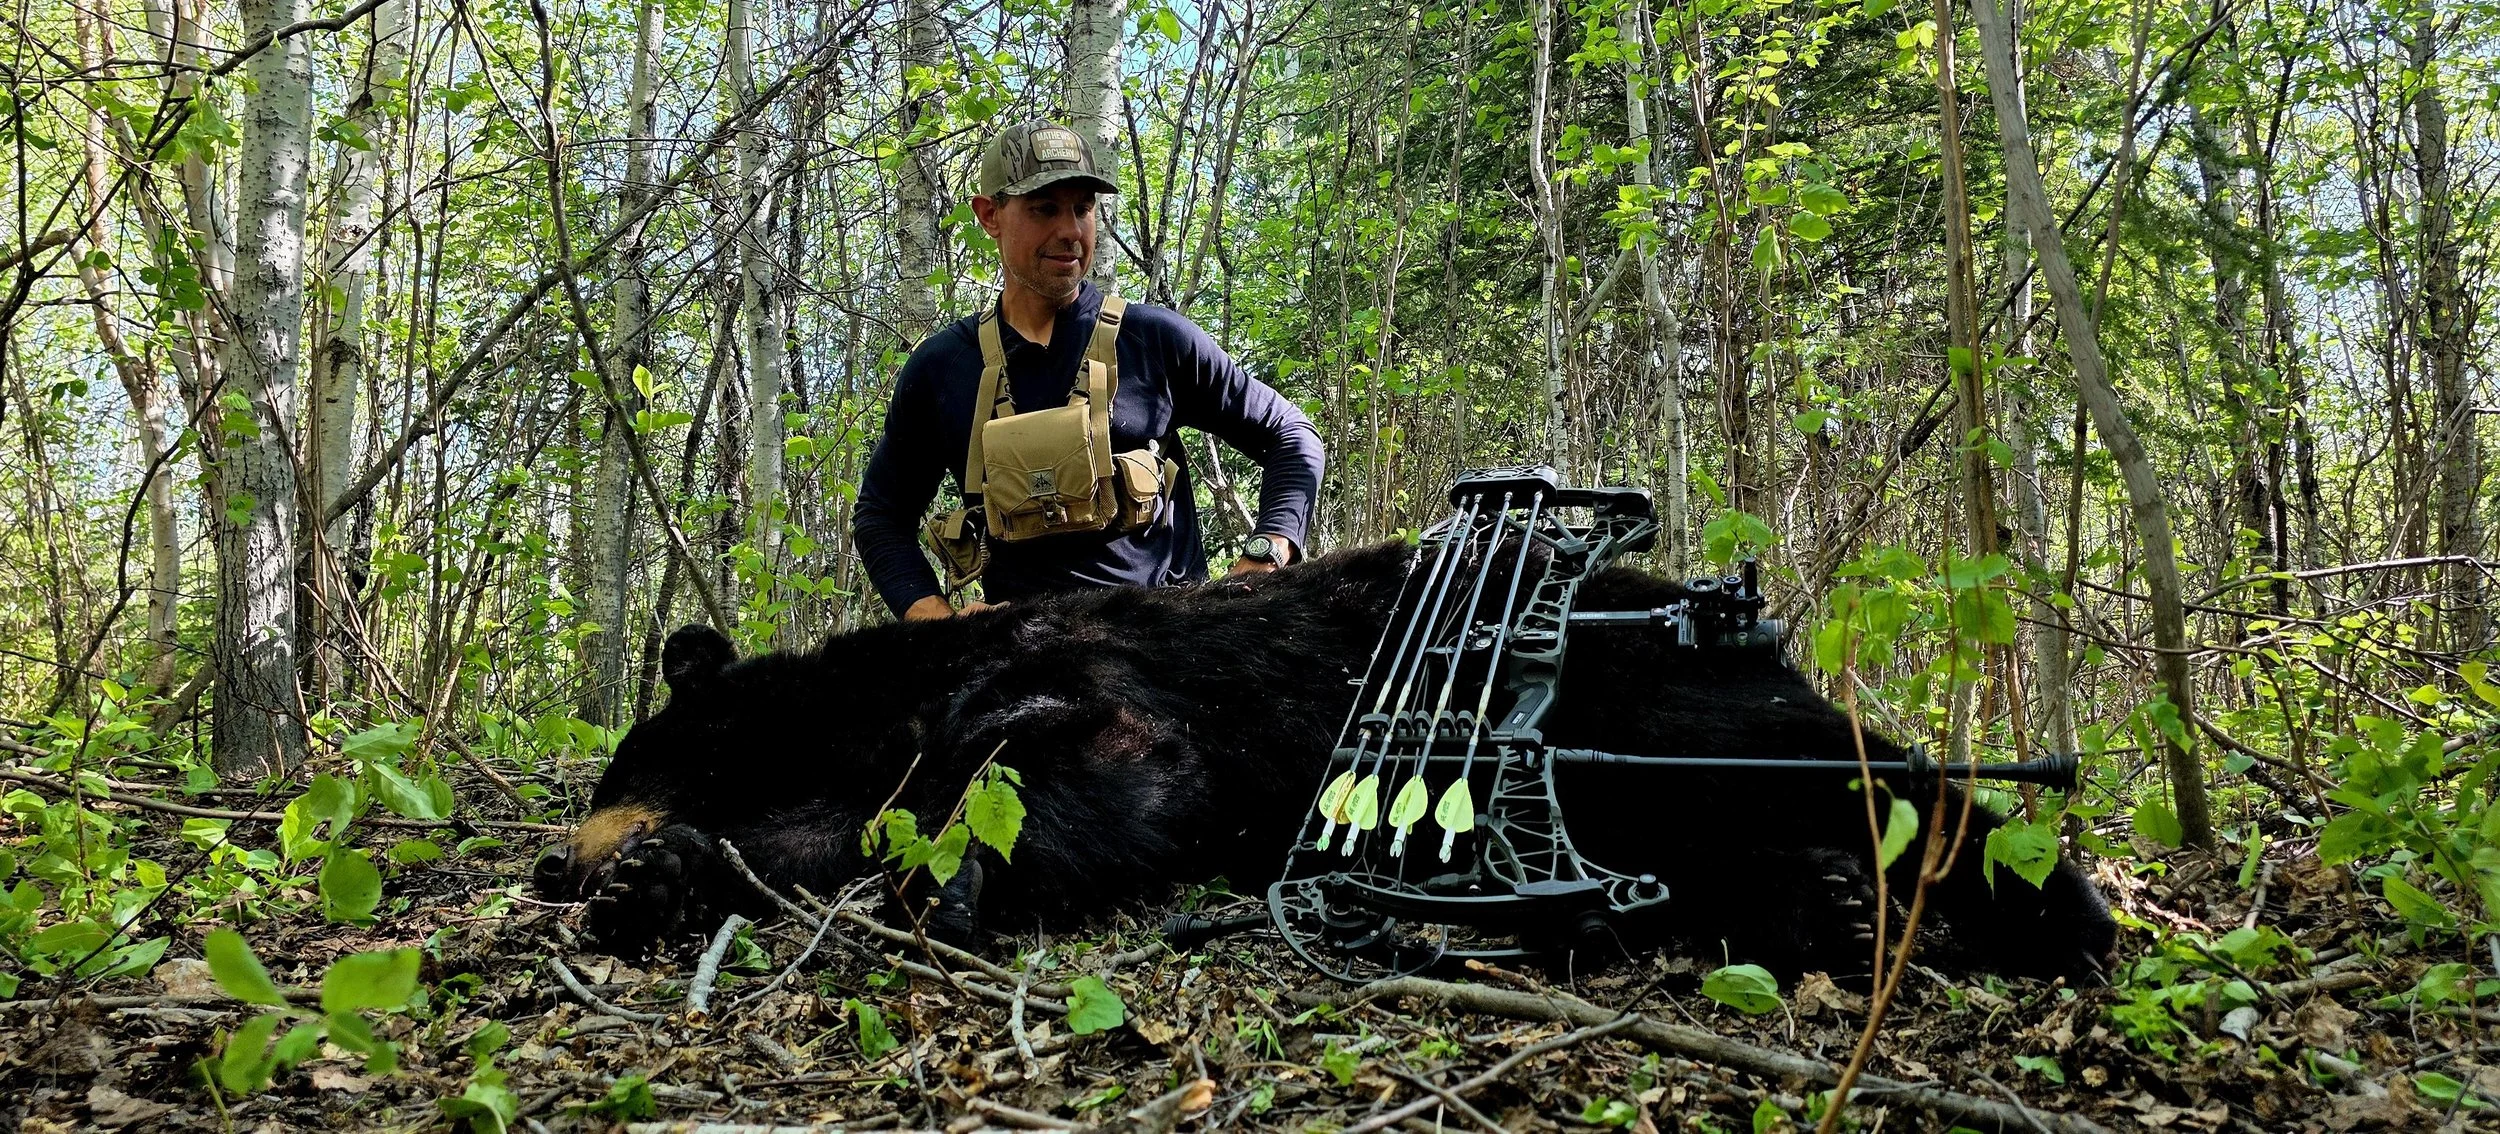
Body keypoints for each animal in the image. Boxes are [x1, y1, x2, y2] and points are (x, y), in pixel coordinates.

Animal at [533, 540, 2118, 982]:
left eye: (619, 760)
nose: (556, 862)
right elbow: (827, 838)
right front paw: (658, 884)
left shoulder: (1114, 692)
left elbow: (1062, 760)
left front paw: (955, 876)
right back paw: (1833, 907)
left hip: (1678, 708)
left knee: (1877, 772)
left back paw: (2052, 906)